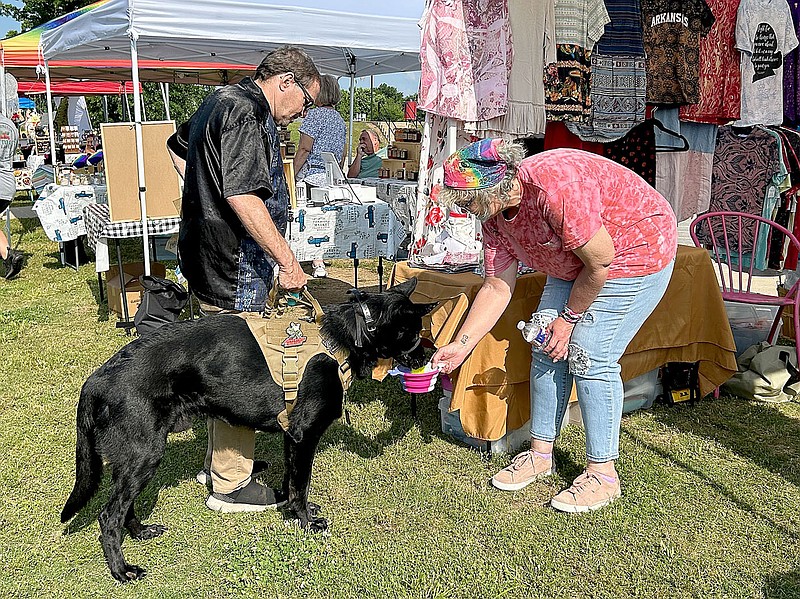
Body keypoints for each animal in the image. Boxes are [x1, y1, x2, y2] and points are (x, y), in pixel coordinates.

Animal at [61, 280, 438, 580]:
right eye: (414, 333)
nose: (427, 357)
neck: (348, 335)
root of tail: (97, 379)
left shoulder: (291, 437)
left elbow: (291, 480)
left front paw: (291, 509)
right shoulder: (304, 435)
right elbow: (301, 484)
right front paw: (306, 521)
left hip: (132, 460)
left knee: (123, 506)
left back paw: (140, 531)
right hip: (144, 455)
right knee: (108, 515)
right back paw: (121, 570)